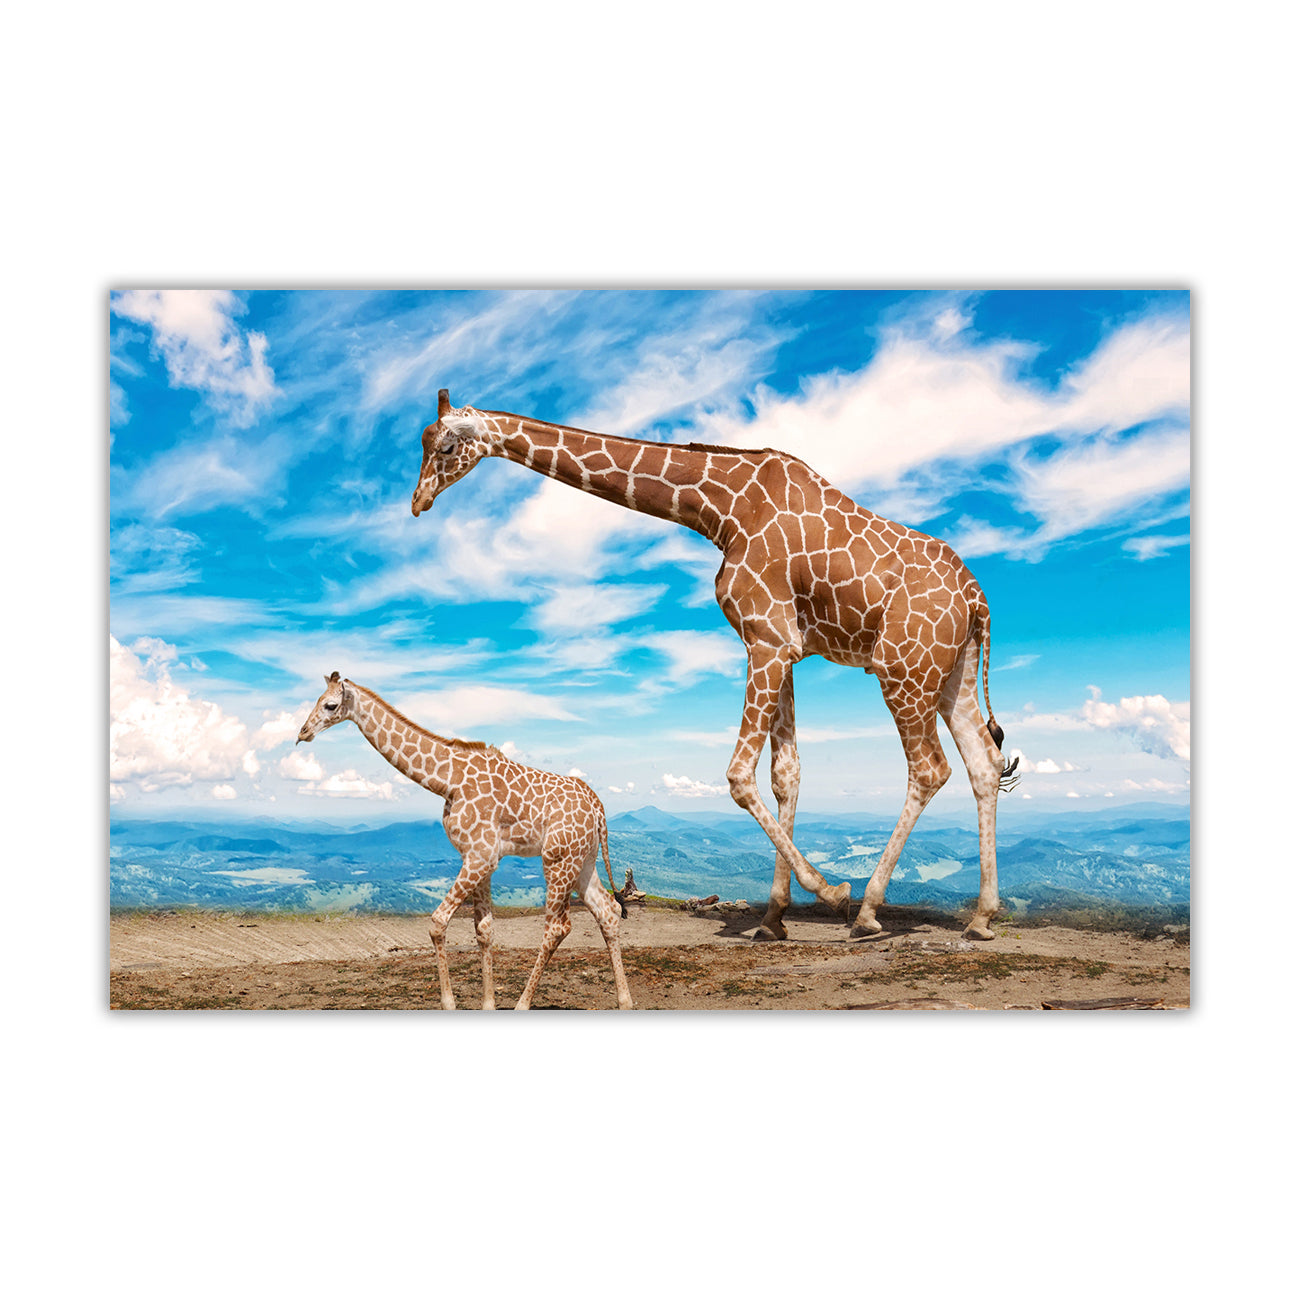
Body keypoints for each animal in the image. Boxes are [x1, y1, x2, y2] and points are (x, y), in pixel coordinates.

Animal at [296, 672, 634, 1010]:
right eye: (317, 700)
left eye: (330, 705)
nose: (302, 733)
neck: (447, 781)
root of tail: (597, 806)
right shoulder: (477, 857)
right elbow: (484, 929)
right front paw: (487, 1004)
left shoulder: (481, 855)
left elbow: (438, 922)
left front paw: (449, 1002)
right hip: (582, 858)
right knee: (607, 911)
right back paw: (624, 1001)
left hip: (557, 859)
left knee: (558, 926)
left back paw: (523, 1004)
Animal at [411, 390, 1019, 943]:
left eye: (445, 445)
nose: (418, 502)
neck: (719, 508)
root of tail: (978, 599)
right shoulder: (780, 645)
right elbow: (785, 774)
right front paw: (774, 918)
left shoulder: (767, 639)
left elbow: (738, 776)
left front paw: (828, 891)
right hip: (953, 673)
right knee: (984, 763)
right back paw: (982, 918)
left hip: (904, 669)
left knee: (930, 768)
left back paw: (869, 909)